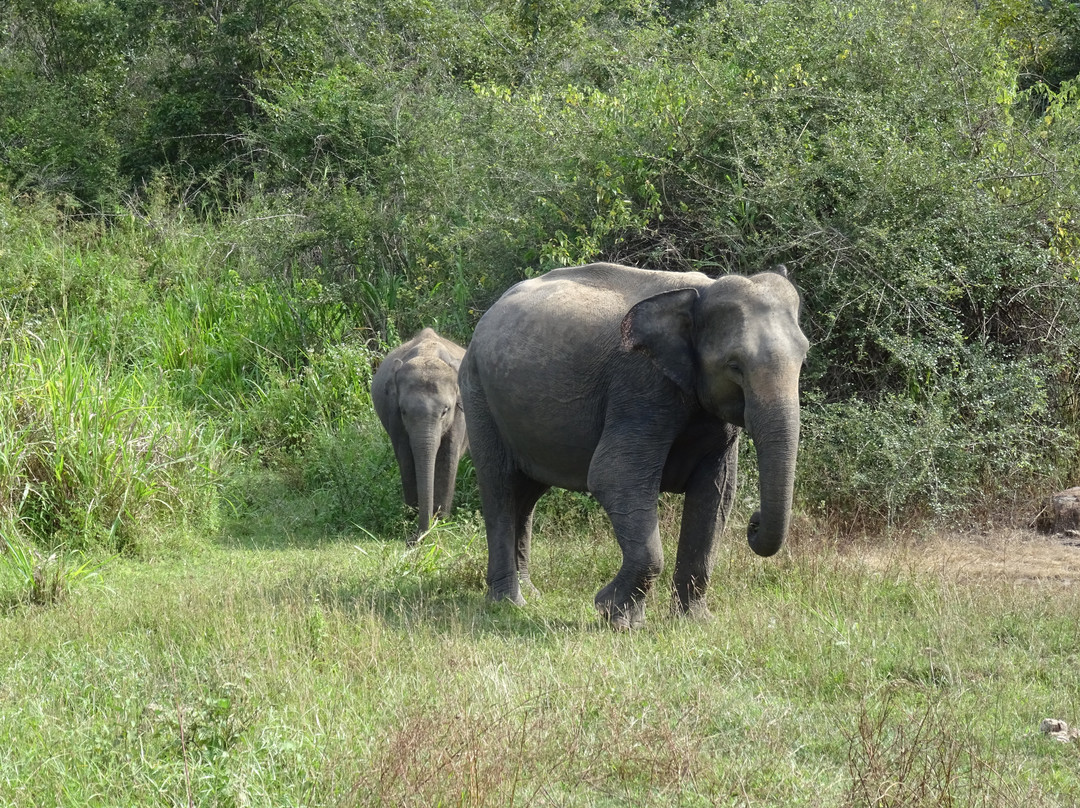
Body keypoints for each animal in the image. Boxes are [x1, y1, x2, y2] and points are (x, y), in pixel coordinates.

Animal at [373, 328, 466, 542]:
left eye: (445, 411)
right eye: (404, 411)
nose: (413, 541)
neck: (427, 353)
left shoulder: (460, 415)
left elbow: (449, 457)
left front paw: (441, 521)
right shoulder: (393, 413)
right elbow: (406, 458)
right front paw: (411, 517)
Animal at [460, 262, 807, 626]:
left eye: (803, 360)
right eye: (735, 366)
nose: (754, 524)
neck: (701, 292)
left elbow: (717, 493)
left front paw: (694, 621)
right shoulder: (640, 384)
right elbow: (614, 475)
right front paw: (614, 616)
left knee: (526, 495)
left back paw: (532, 595)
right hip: (477, 391)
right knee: (499, 486)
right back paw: (508, 603)